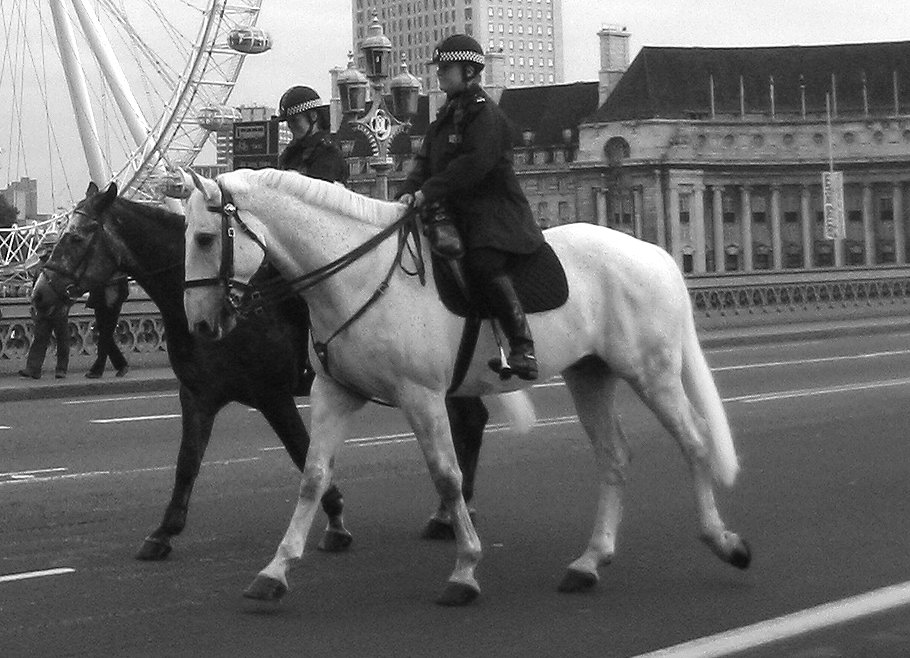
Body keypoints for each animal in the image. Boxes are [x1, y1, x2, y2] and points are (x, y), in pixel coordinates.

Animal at [32, 181, 488, 560]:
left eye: (75, 238)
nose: (38, 295)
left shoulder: (272, 395)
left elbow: (302, 452)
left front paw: (336, 520)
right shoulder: (197, 394)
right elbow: (186, 462)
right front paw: (164, 531)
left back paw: (452, 512)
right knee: (471, 419)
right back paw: (451, 511)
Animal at [182, 168, 752, 604]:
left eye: (205, 238)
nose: (201, 326)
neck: (359, 276)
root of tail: (656, 253)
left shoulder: (422, 396)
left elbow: (448, 477)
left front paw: (465, 568)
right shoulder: (334, 395)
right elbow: (312, 477)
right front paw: (275, 570)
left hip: (651, 372)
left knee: (694, 441)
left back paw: (723, 541)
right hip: (590, 373)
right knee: (614, 457)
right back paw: (590, 561)